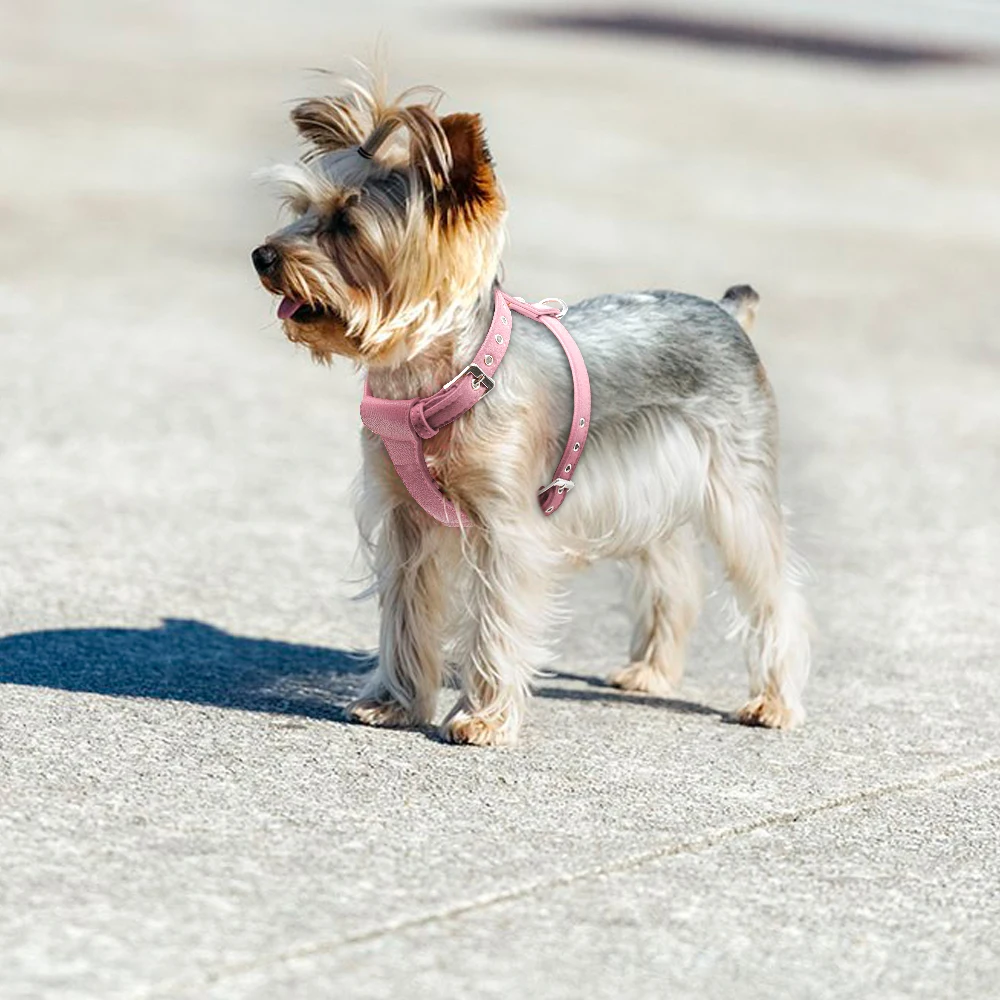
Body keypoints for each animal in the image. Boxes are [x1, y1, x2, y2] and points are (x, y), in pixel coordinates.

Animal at [252, 78, 812, 748]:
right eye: (300, 210)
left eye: (348, 225)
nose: (261, 256)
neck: (439, 377)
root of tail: (729, 311)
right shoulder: (406, 520)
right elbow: (407, 611)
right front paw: (394, 702)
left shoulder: (507, 526)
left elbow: (496, 618)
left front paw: (483, 719)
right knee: (673, 572)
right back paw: (650, 672)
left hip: (736, 483)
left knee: (773, 587)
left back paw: (772, 703)